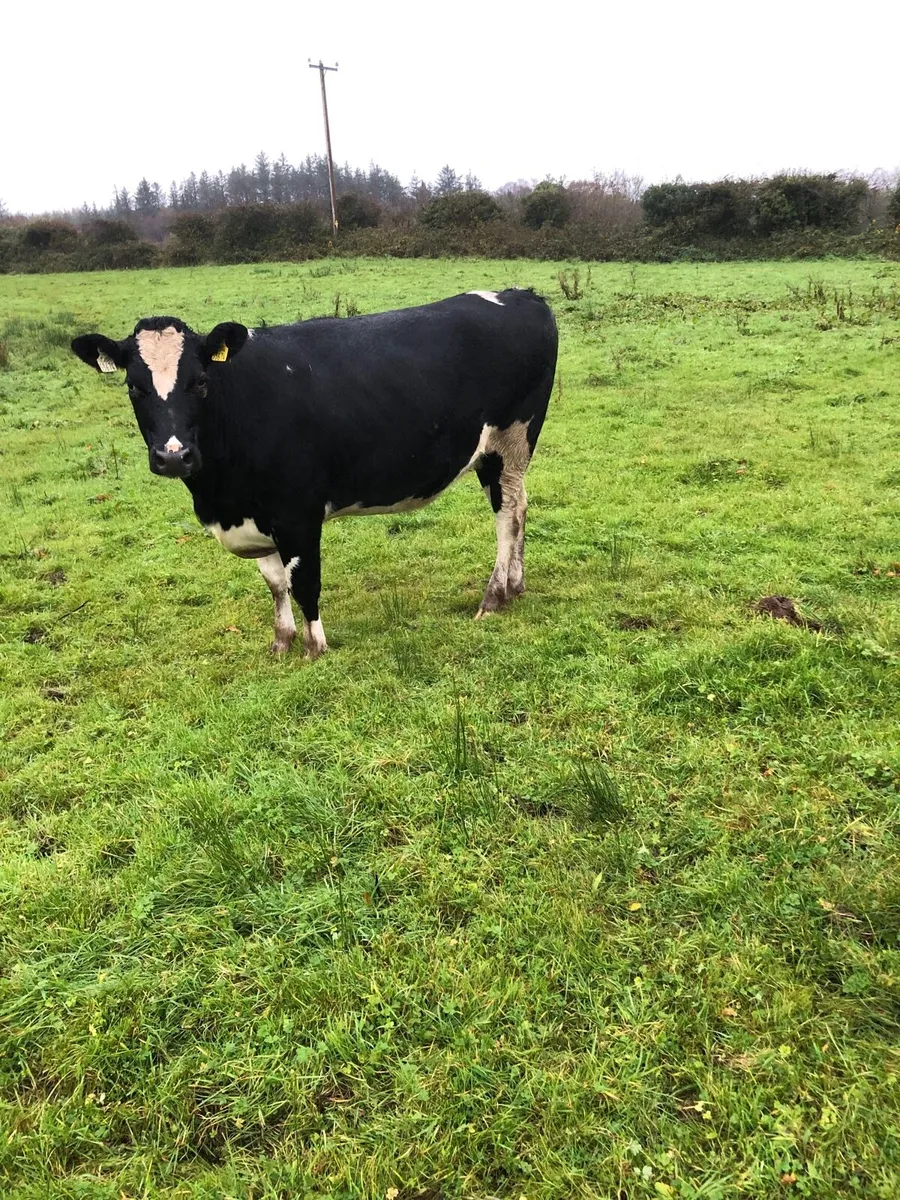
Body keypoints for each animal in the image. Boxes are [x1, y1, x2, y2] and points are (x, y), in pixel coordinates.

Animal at [71, 288, 558, 659]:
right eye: (134, 387)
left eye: (200, 382)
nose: (173, 457)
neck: (221, 494)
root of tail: (520, 295)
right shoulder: (254, 515)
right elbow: (274, 584)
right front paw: (281, 643)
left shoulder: (296, 513)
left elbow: (304, 581)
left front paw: (315, 648)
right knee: (521, 507)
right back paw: (515, 586)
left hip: (509, 442)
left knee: (507, 515)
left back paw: (493, 597)